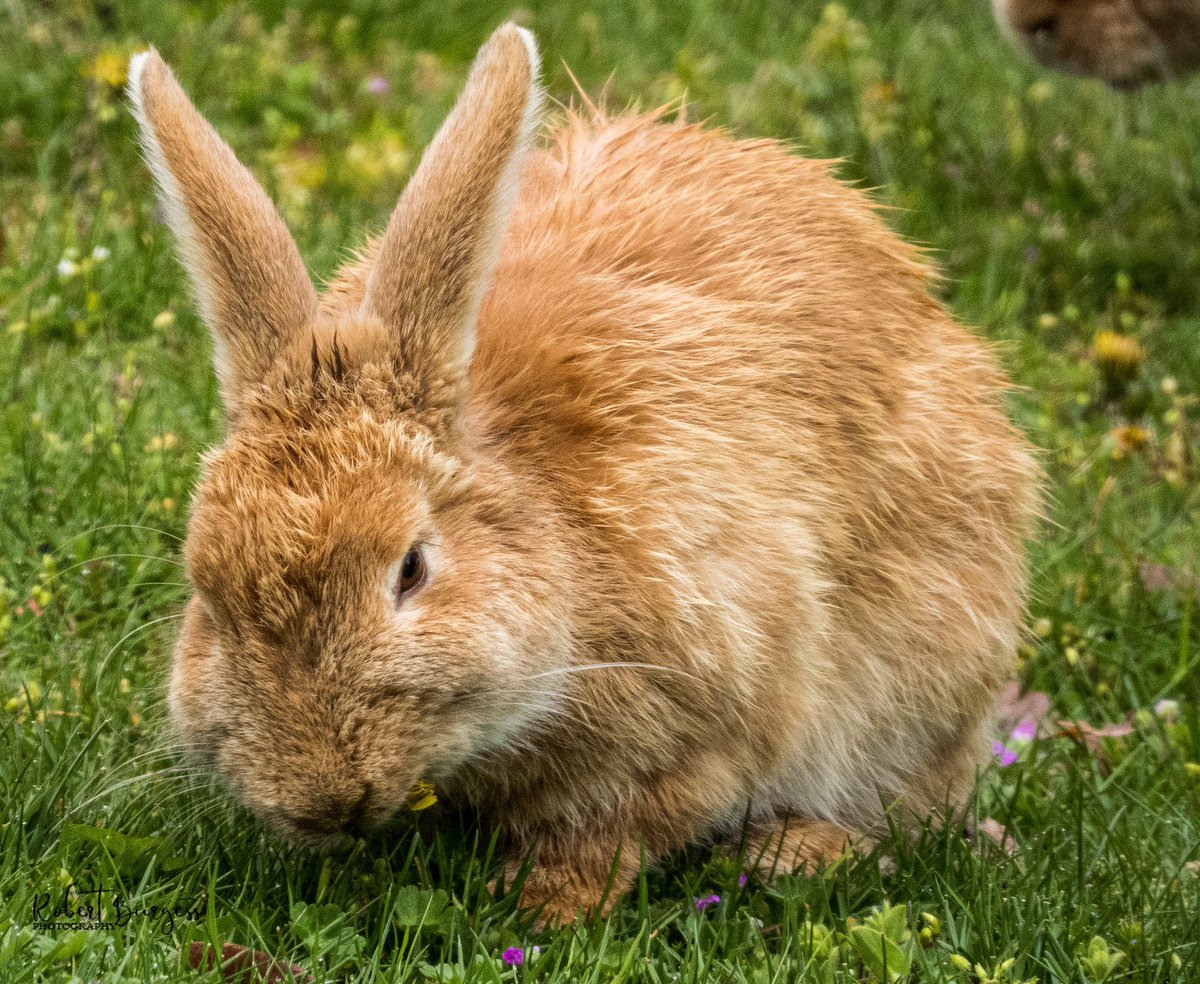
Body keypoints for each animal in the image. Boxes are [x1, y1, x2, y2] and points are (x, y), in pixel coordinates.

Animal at [126, 25, 1036, 931]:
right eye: (209, 594)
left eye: (411, 568)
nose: (322, 797)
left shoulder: (716, 713)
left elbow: (621, 826)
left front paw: (539, 910)